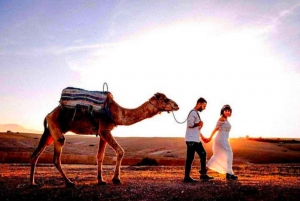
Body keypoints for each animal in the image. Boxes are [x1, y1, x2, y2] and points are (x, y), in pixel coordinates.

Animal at [28, 90, 178, 186]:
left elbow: (100, 156)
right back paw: (69, 182)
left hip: (49, 132)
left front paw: (101, 180)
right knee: (56, 154)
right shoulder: (105, 130)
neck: (116, 113)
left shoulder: (102, 133)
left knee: (36, 154)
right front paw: (116, 179)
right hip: (56, 129)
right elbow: (120, 151)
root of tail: (48, 114)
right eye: (165, 99)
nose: (177, 105)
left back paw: (32, 183)